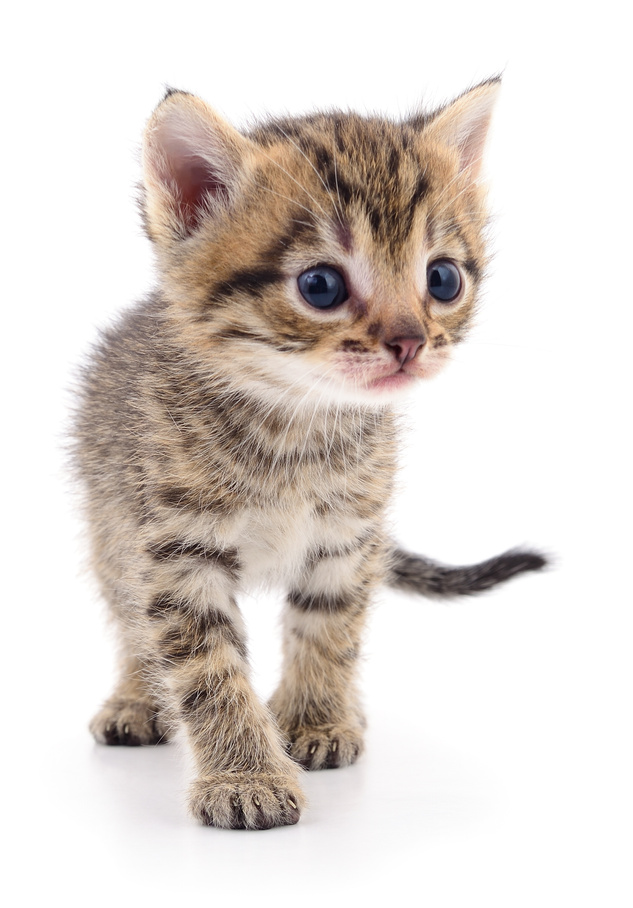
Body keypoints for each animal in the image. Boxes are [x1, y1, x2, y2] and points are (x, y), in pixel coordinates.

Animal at [74, 80, 544, 828]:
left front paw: (315, 718)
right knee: (128, 619)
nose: (411, 341)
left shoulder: (349, 536)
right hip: (109, 525)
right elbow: (206, 667)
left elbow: (328, 627)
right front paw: (245, 775)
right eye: (320, 286)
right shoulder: (174, 551)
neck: (296, 424)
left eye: (442, 279)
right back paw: (135, 699)